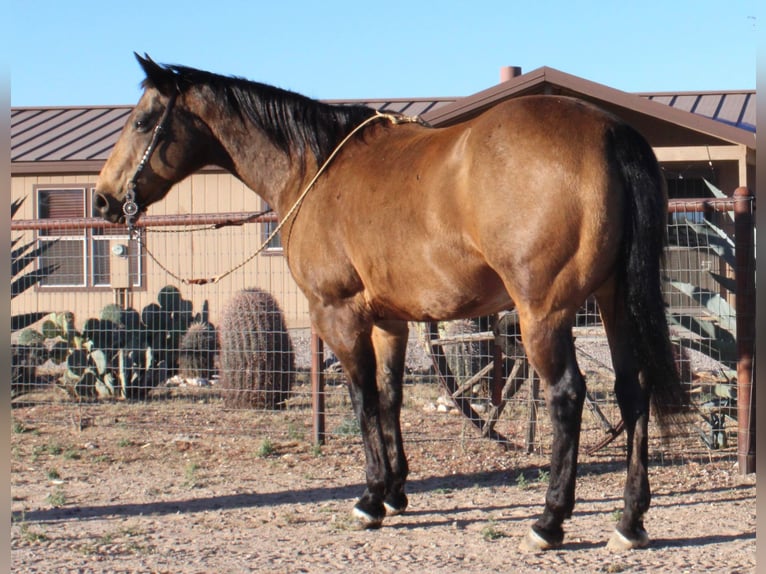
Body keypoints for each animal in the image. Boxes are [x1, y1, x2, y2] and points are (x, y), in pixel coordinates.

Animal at [93, 54, 688, 552]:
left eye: (144, 121)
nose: (102, 200)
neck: (315, 170)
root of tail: (609, 133)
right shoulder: (390, 323)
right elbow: (390, 399)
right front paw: (398, 489)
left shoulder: (338, 314)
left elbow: (362, 401)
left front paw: (372, 497)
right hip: (614, 303)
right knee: (632, 392)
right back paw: (630, 521)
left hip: (542, 315)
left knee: (567, 396)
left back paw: (549, 521)